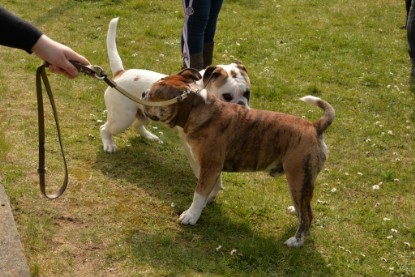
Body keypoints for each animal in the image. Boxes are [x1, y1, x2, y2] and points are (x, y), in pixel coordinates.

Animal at [101, 18, 252, 152]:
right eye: (227, 96)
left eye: (247, 94)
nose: (241, 106)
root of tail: (120, 73)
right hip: (122, 119)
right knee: (105, 128)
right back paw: (109, 144)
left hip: (144, 115)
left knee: (138, 124)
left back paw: (150, 137)